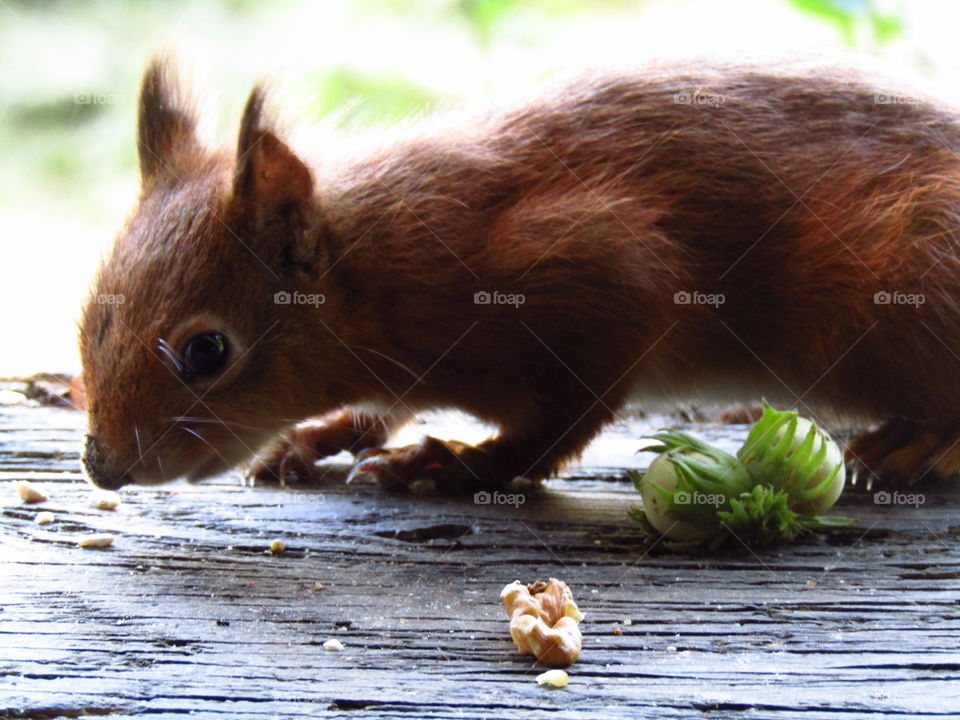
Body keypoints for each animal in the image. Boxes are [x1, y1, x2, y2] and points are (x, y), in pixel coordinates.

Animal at [80, 57, 960, 493]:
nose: (102, 468)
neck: (382, 269)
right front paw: (318, 435)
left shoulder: (608, 270)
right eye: (89, 319)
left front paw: (460, 464)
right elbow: (378, 408)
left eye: (207, 352)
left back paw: (914, 443)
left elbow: (566, 420)